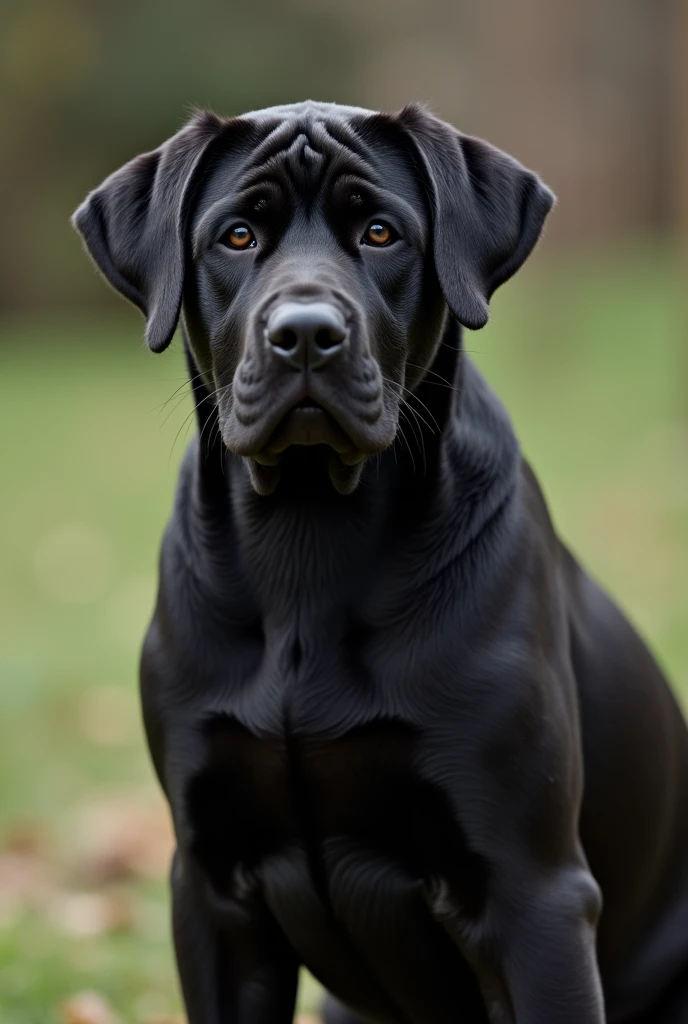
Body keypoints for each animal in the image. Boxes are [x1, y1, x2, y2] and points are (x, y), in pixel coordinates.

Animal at [73, 99, 688, 1019]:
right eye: (238, 236)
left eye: (380, 231)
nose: (305, 336)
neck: (307, 536)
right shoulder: (212, 889)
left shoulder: (533, 890)